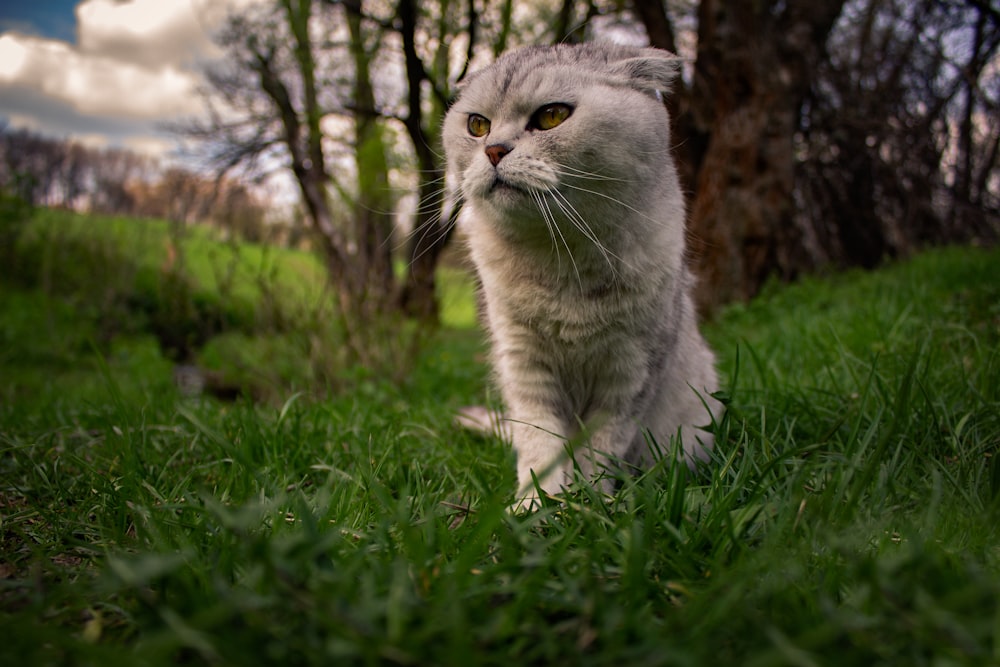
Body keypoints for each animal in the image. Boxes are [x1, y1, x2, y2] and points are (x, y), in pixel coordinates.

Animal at [444, 43, 720, 506]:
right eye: (477, 125)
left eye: (552, 116)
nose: (494, 151)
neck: (562, 257)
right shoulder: (524, 366)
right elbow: (540, 445)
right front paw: (536, 505)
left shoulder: (630, 372)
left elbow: (600, 450)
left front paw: (589, 505)